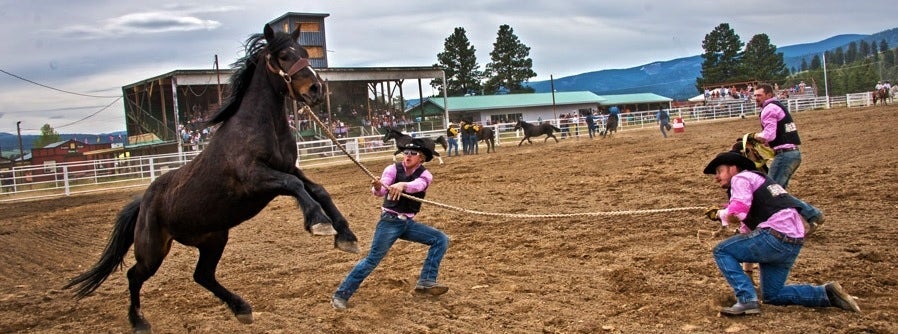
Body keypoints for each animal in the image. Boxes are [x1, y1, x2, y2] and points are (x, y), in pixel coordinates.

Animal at [65, 24, 356, 334]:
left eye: (304, 52)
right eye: (284, 55)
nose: (316, 89)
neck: (258, 127)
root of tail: (143, 202)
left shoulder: (288, 168)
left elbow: (318, 189)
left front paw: (346, 237)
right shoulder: (256, 179)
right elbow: (298, 187)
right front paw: (320, 223)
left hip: (213, 238)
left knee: (202, 276)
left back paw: (242, 308)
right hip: (153, 250)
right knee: (134, 275)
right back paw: (139, 321)